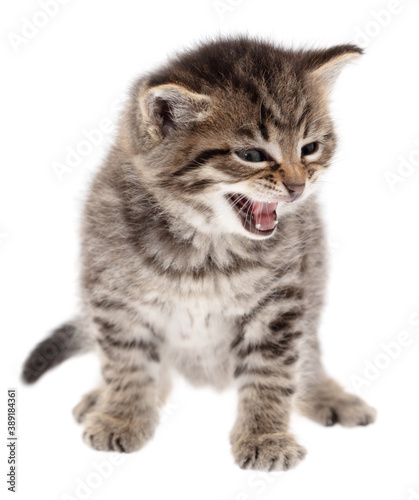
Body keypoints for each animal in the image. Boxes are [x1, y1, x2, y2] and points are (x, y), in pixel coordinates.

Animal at [23, 37, 378, 470]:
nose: (297, 188)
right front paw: (122, 416)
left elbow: (272, 372)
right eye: (252, 155)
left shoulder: (281, 303)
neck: (206, 242)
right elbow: (128, 363)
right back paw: (103, 398)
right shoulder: (114, 297)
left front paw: (266, 436)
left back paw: (326, 394)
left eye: (310, 148)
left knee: (306, 354)